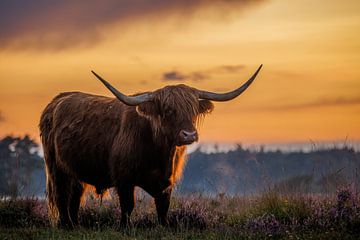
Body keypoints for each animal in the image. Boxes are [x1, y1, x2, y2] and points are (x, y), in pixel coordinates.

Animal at [40, 64, 262, 228]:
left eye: (192, 110)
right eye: (169, 110)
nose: (189, 134)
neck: (159, 153)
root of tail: (56, 100)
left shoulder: (167, 182)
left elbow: (163, 207)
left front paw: (164, 226)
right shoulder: (124, 179)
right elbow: (128, 206)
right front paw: (125, 228)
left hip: (76, 170)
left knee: (75, 197)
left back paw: (75, 225)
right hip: (56, 168)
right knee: (61, 196)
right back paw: (66, 226)